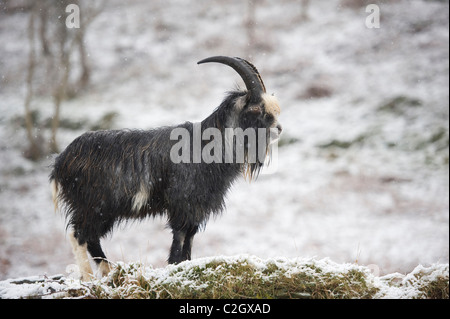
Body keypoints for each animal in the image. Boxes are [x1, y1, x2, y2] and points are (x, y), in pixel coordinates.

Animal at [49, 56, 282, 282]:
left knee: (91, 237)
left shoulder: (196, 209)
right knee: (78, 235)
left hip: (102, 210)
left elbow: (189, 240)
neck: (208, 145)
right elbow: (179, 238)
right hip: (93, 205)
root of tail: (61, 161)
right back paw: (88, 278)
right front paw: (174, 267)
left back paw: (108, 273)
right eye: (256, 109)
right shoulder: (183, 203)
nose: (279, 128)